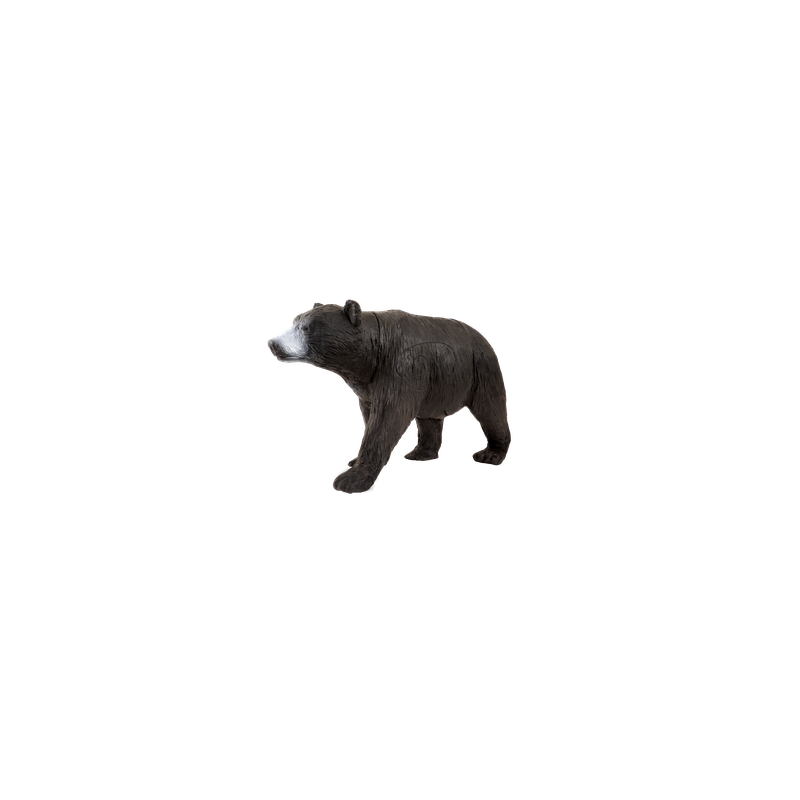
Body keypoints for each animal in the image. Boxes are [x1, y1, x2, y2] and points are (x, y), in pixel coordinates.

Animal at [267, 298, 511, 495]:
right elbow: (370, 415)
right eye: (294, 321)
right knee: (428, 418)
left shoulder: (401, 367)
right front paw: (353, 462)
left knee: (491, 408)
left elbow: (386, 420)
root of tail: (483, 337)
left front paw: (350, 479)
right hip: (435, 380)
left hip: (480, 370)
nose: (273, 343)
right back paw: (420, 452)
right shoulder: (368, 384)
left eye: (306, 327)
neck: (371, 355)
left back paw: (490, 454)